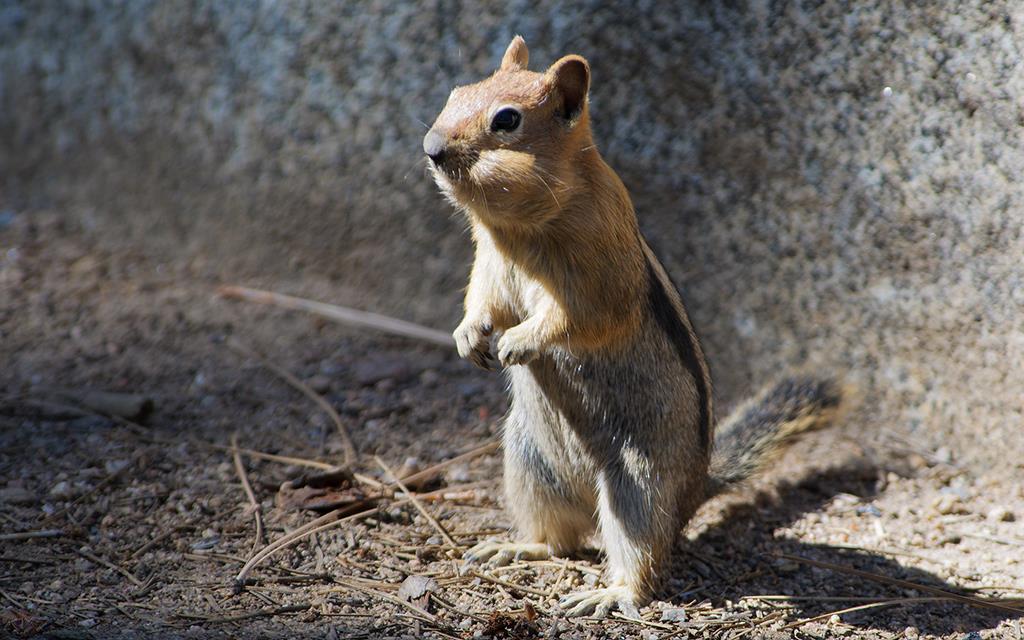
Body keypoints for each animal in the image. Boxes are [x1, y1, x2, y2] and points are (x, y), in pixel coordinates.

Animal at [421, 36, 839, 618]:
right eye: (458, 92)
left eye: (507, 120)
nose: (431, 147)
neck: (518, 228)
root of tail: (695, 489)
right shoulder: (490, 262)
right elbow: (485, 299)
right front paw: (468, 335)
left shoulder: (602, 274)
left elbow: (581, 318)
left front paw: (520, 340)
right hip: (527, 463)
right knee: (562, 540)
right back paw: (516, 546)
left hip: (637, 486)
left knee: (641, 558)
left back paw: (610, 591)